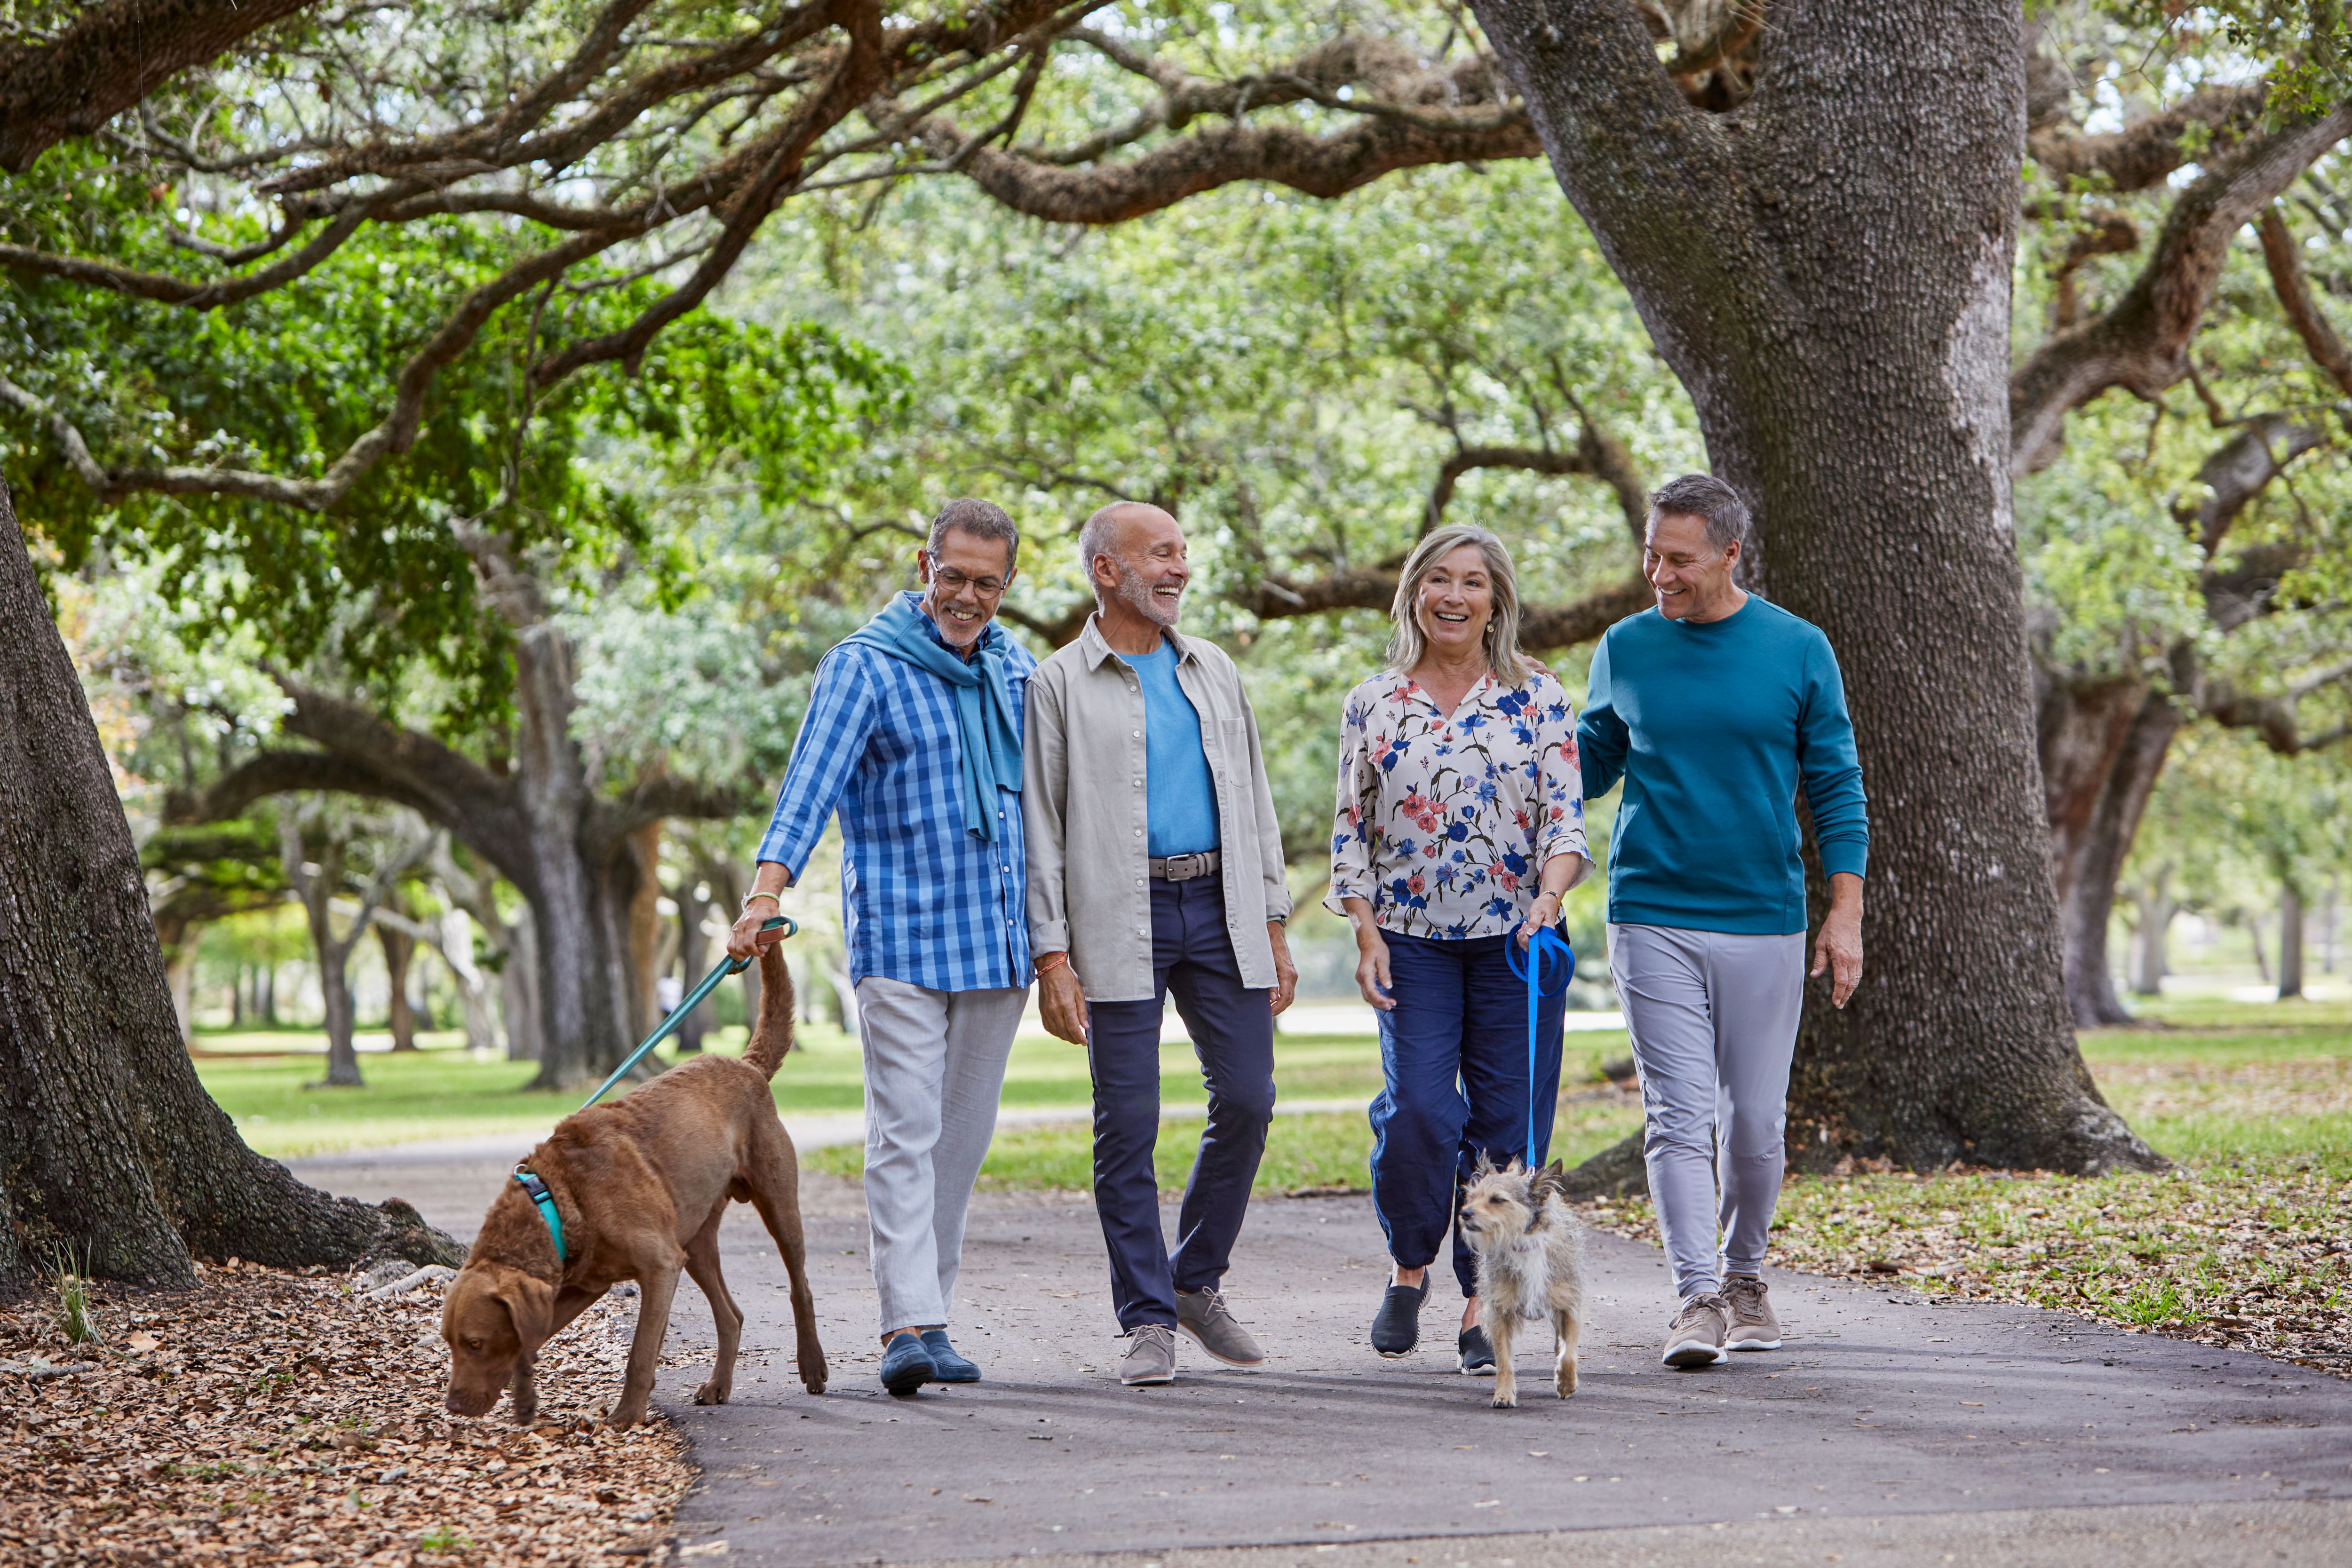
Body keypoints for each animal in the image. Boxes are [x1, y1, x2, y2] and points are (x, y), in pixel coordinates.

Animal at [442, 940, 828, 1429]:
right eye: (449, 1343)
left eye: (474, 1343)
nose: (452, 1406)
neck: (559, 1200)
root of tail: (746, 1065)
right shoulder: (583, 1285)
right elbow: (539, 1334)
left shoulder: (660, 1265)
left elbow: (641, 1353)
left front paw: (625, 1417)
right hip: (695, 1237)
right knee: (732, 1315)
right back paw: (718, 1386)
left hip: (776, 1203)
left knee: (800, 1285)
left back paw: (812, 1365)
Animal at [1458, 1152, 1590, 1410]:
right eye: (1472, 1197)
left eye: (1498, 1200)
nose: (1465, 1213)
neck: (1523, 1244)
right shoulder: (1499, 1313)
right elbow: (1504, 1361)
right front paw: (1504, 1394)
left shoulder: (1569, 1305)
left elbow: (1569, 1352)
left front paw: (1566, 1381)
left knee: (1561, 1344)